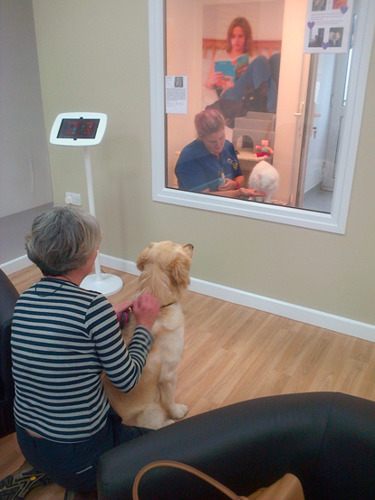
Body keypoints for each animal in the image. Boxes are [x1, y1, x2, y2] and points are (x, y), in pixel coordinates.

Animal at [103, 240, 194, 428]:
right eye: (177, 245)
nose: (191, 244)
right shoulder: (169, 374)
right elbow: (169, 400)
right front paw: (177, 412)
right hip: (149, 411)